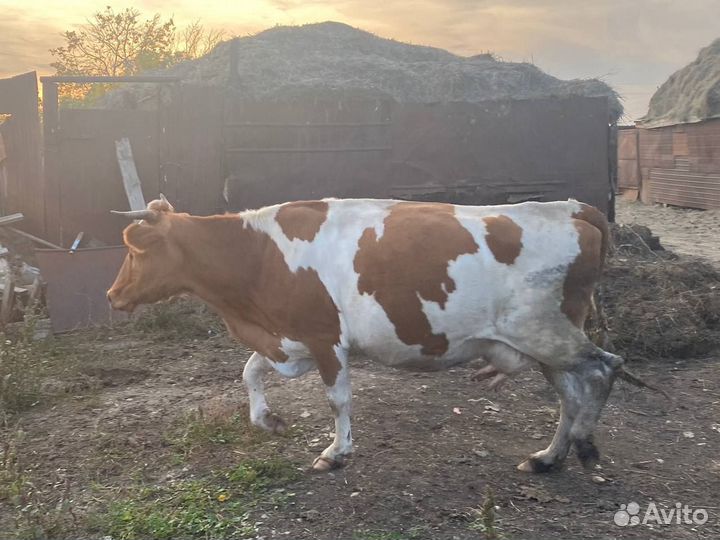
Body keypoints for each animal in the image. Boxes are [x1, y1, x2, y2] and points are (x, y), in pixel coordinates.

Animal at [108, 195, 628, 474]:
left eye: (134, 249)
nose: (113, 295)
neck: (258, 257)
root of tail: (572, 207)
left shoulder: (323, 336)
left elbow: (337, 400)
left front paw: (336, 452)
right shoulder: (287, 337)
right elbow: (249, 372)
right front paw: (267, 420)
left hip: (546, 332)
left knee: (604, 369)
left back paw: (583, 443)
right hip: (544, 344)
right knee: (571, 393)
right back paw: (548, 458)